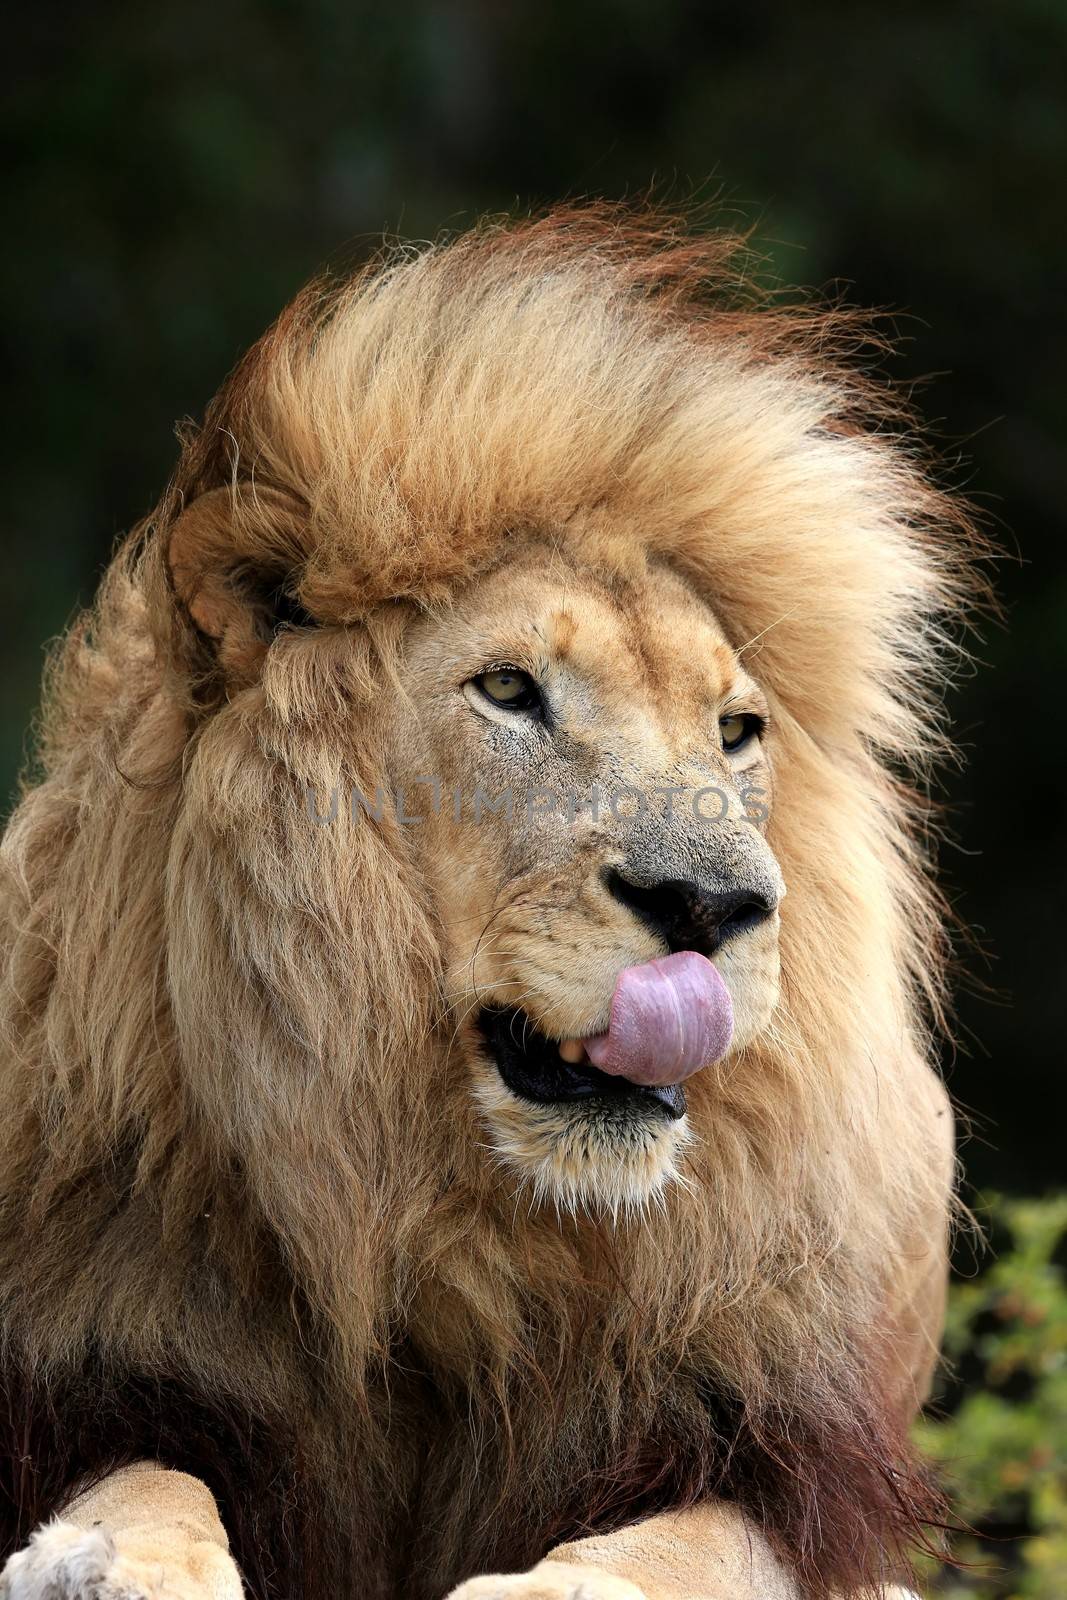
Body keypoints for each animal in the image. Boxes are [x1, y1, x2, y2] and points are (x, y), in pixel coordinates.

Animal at [0, 212, 985, 1600]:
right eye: (509, 690)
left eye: (734, 730)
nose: (713, 904)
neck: (434, 1228)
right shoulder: (91, 1375)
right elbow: (149, 1472)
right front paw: (118, 1563)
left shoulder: (785, 1465)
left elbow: (688, 1543)